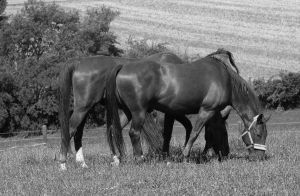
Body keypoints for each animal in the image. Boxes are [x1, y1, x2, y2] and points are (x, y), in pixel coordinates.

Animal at [106, 48, 270, 162]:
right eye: (258, 134)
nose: (260, 157)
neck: (226, 80)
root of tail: (122, 67)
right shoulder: (206, 111)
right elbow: (194, 133)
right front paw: (185, 155)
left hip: (127, 112)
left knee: (113, 130)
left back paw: (116, 158)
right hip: (138, 112)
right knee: (134, 133)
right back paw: (139, 158)